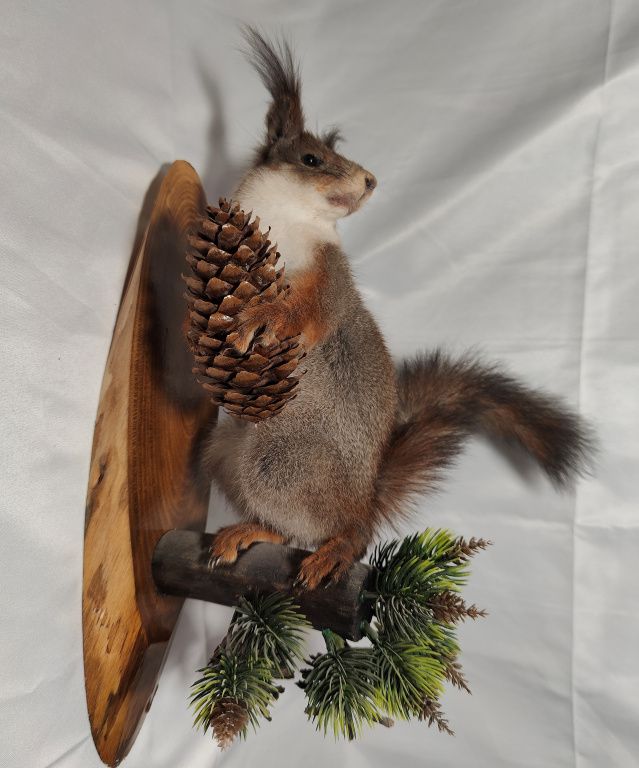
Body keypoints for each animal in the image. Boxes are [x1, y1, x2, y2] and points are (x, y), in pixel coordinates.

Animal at [204, 28, 593, 590]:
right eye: (311, 159)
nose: (370, 181)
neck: (285, 221)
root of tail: (364, 499)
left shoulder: (330, 279)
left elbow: (308, 316)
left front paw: (259, 318)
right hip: (225, 452)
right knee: (283, 526)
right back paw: (248, 531)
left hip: (283, 464)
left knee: (343, 533)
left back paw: (335, 550)